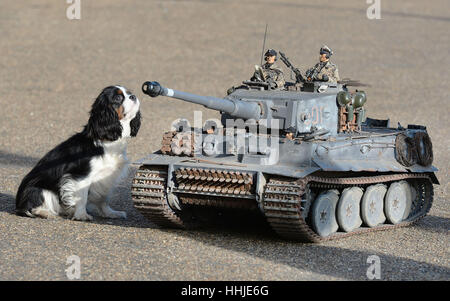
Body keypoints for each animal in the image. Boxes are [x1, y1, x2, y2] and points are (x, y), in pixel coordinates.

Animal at [15, 85, 140, 220]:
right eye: (118, 98)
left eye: (129, 93)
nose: (133, 96)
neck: (108, 142)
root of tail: (18, 204)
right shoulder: (81, 176)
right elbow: (82, 198)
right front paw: (82, 215)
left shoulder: (106, 179)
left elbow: (103, 199)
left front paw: (110, 213)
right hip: (40, 190)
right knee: (32, 207)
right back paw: (46, 213)